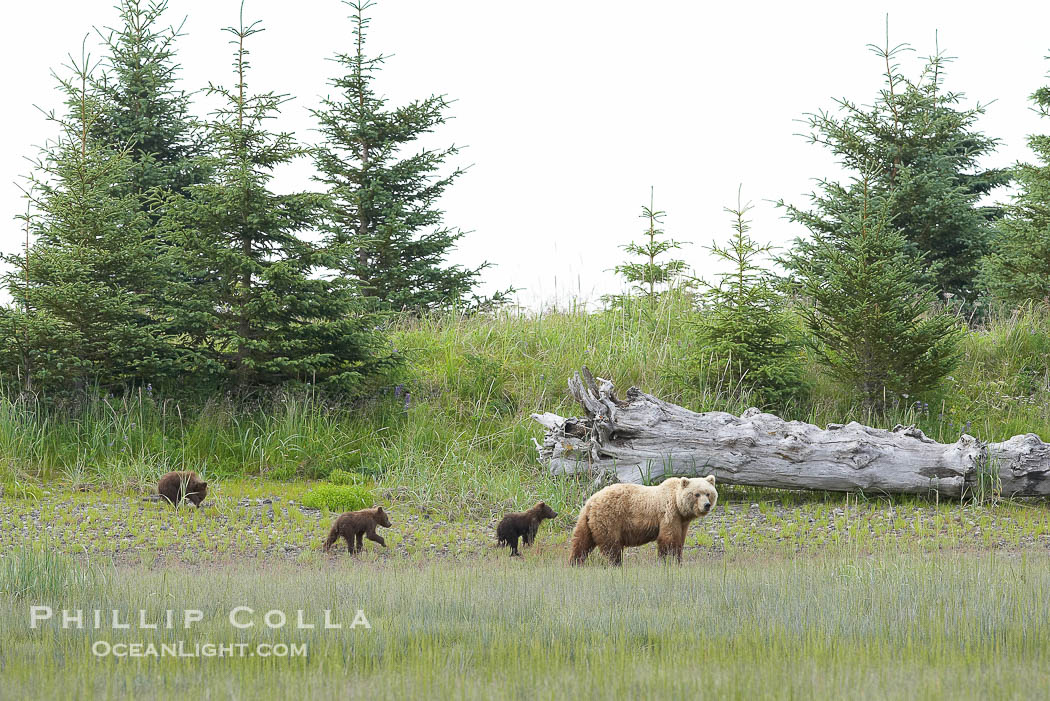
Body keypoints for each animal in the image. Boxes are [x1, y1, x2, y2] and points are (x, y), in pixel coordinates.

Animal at [569, 475, 717, 566]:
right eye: (696, 494)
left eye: (708, 493)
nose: (706, 505)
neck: (679, 506)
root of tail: (591, 500)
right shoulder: (669, 513)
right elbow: (668, 539)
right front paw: (668, 561)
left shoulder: (682, 522)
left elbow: (680, 541)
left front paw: (678, 560)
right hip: (609, 518)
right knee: (611, 546)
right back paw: (617, 564)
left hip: (586, 521)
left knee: (581, 541)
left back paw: (575, 562)